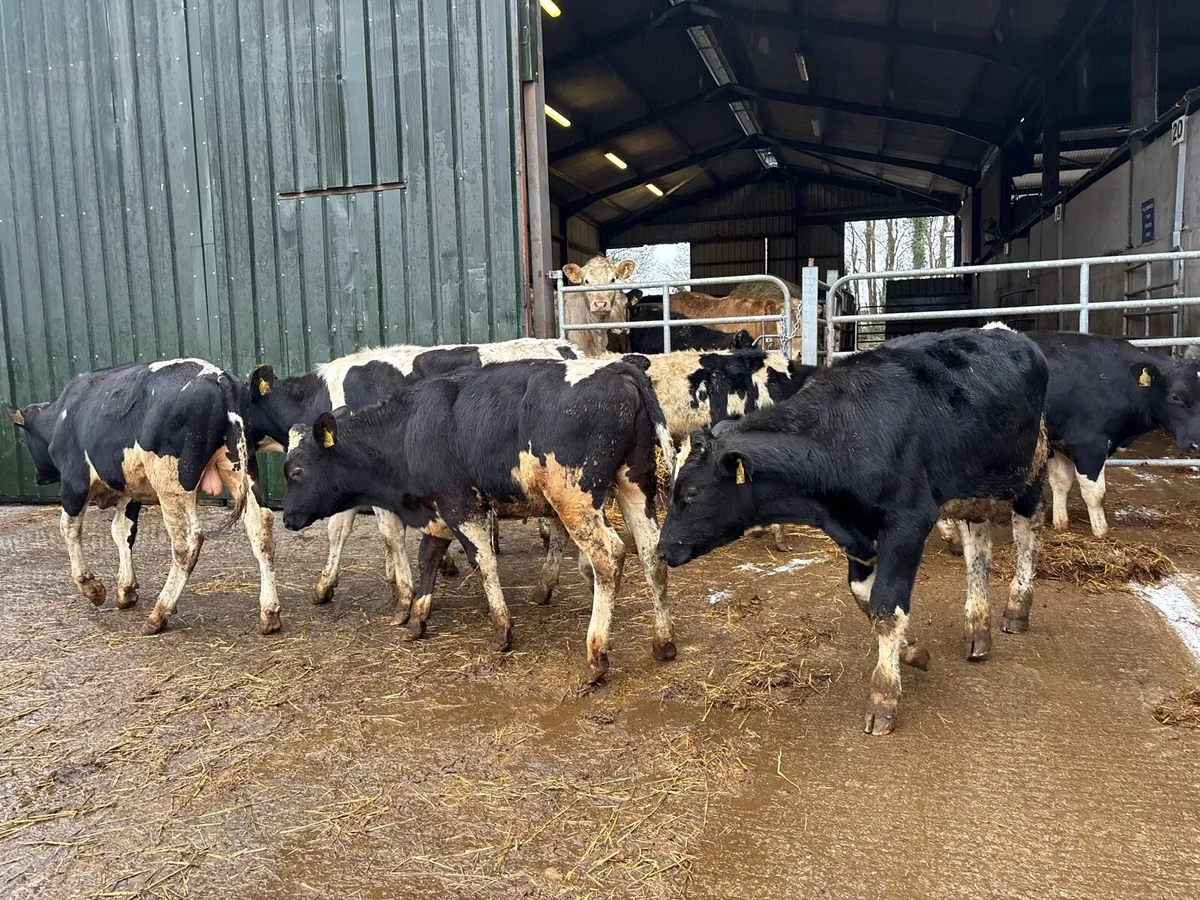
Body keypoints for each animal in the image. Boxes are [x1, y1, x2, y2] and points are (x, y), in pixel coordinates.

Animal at [4, 359, 280, 635]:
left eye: (24, 439)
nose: (39, 477)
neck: (62, 415)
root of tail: (218, 377)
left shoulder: (74, 483)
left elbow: (69, 529)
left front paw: (91, 587)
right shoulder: (129, 490)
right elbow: (121, 531)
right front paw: (125, 589)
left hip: (172, 483)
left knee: (187, 542)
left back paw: (159, 613)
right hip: (241, 467)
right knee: (260, 526)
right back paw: (269, 612)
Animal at [279, 357, 676, 682]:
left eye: (297, 471)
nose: (287, 517)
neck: (409, 429)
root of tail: (616, 370)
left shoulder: (460, 506)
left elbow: (483, 562)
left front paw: (501, 629)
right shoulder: (437, 509)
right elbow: (428, 559)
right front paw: (418, 619)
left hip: (575, 499)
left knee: (608, 557)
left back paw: (596, 656)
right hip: (634, 485)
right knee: (652, 554)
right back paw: (663, 641)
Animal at [658, 325, 1049, 735]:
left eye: (691, 492)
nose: (663, 549)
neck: (846, 436)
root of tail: (1004, 331)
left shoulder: (907, 524)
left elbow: (886, 605)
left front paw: (884, 696)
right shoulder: (853, 534)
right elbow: (865, 596)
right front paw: (911, 651)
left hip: (1029, 473)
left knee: (1027, 535)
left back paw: (1016, 608)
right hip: (973, 488)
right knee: (977, 550)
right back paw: (977, 629)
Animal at [936, 331, 1200, 549]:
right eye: (1175, 397)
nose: (1196, 443)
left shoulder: (1058, 443)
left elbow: (1061, 482)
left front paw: (1060, 524)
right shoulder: (1088, 444)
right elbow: (1095, 492)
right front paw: (1101, 533)